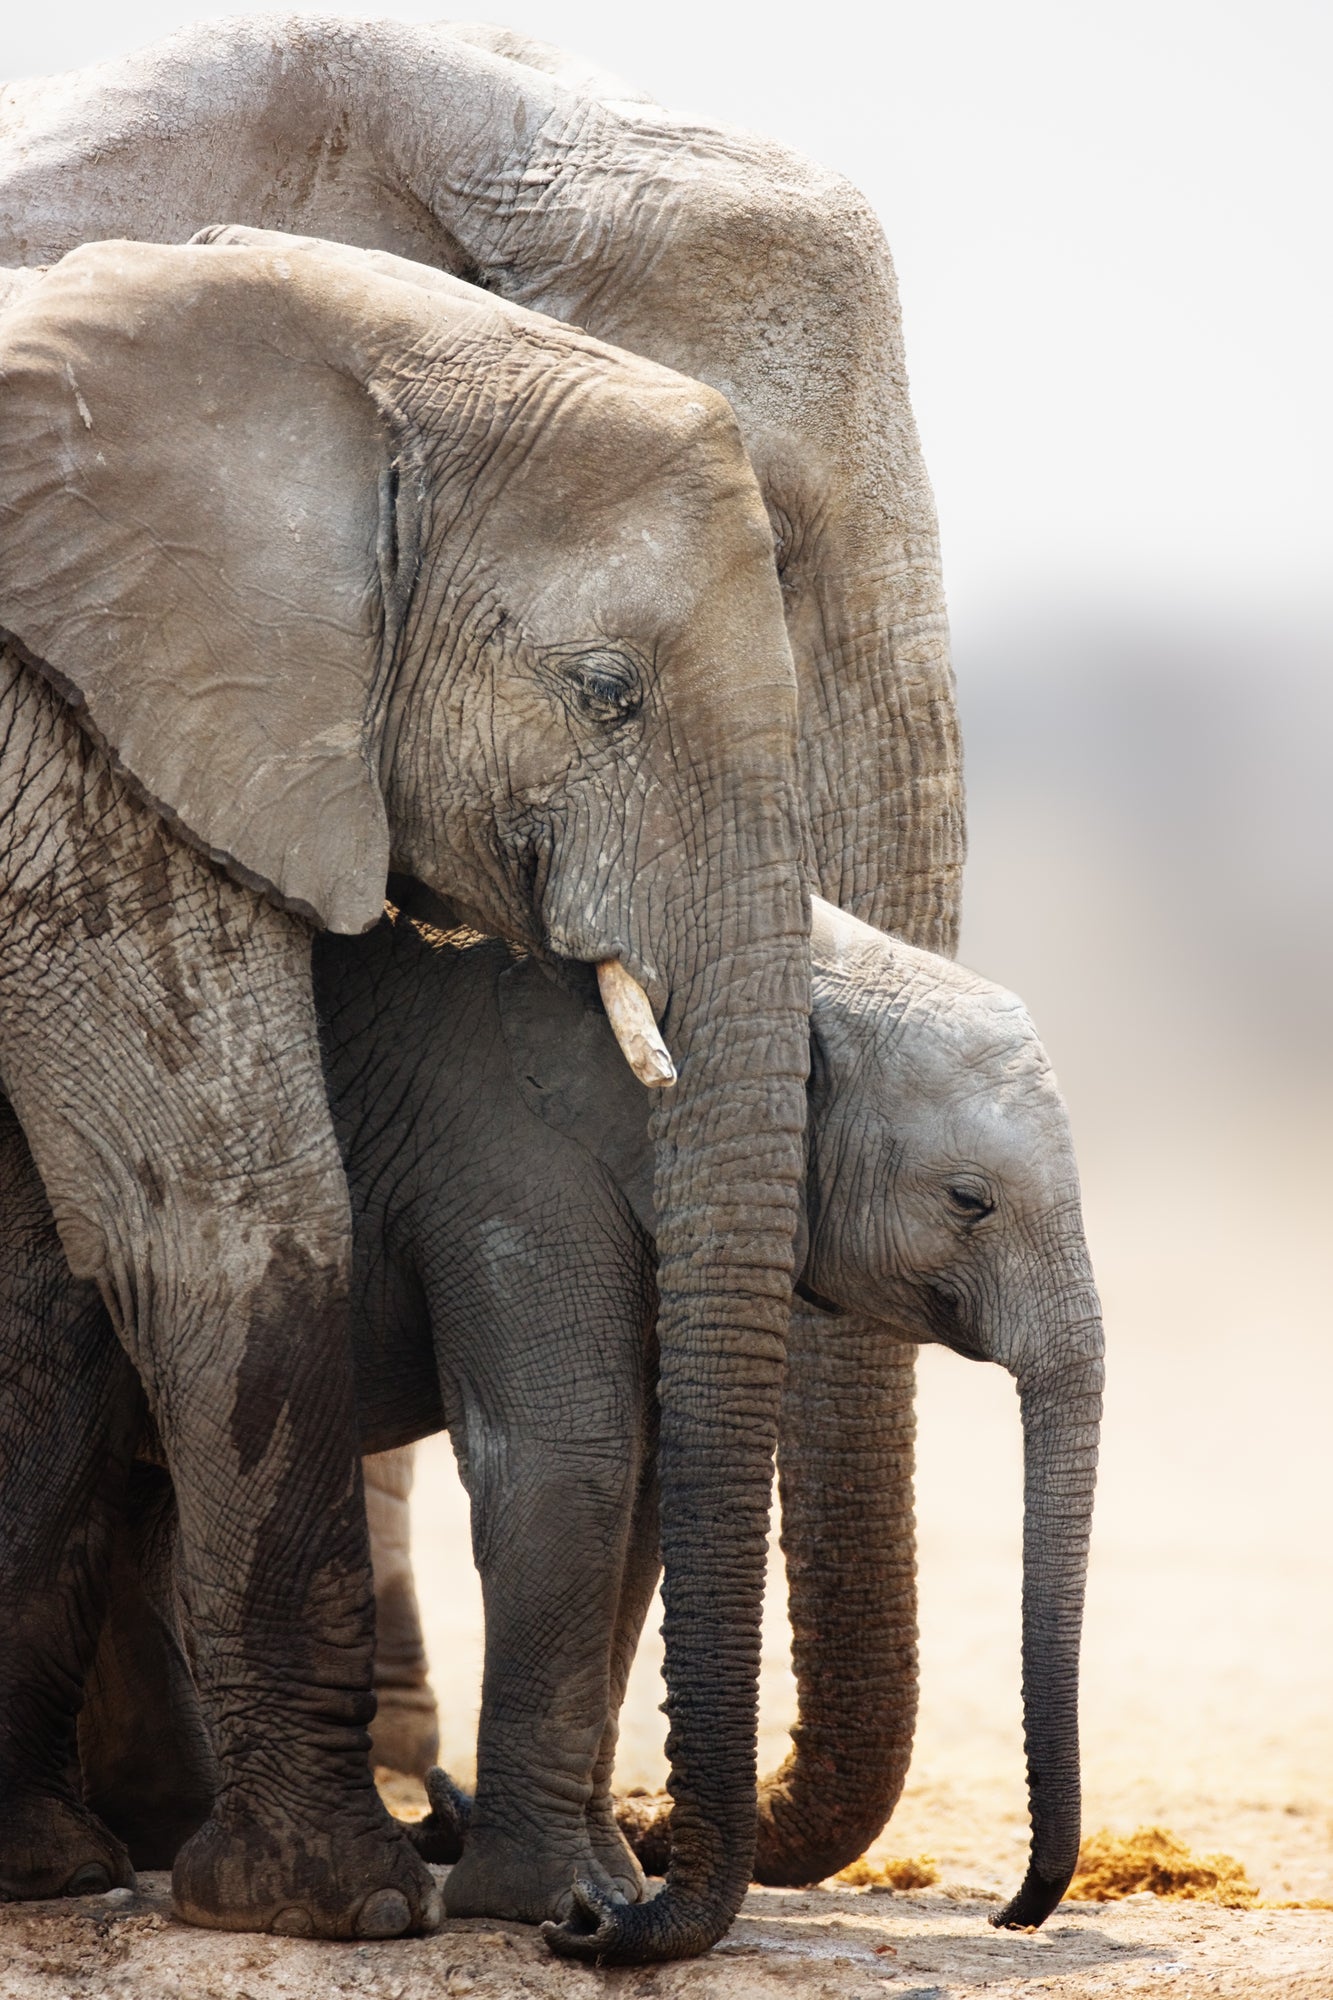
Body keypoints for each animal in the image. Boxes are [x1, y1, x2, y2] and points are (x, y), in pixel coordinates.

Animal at [10, 900, 1096, 1928]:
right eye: (968, 1200)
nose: (1010, 1911)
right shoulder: (509, 1165)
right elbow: (568, 1456)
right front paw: (559, 1905)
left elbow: (643, 1491)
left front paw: (598, 1894)